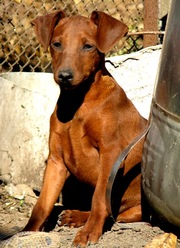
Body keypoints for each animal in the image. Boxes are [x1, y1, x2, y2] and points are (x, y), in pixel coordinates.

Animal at [23, 10, 148, 247]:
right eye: (56, 44)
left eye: (88, 46)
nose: (64, 76)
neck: (78, 104)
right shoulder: (56, 161)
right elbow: (42, 204)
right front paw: (27, 233)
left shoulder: (111, 154)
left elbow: (98, 198)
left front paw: (89, 232)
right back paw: (76, 216)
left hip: (134, 210)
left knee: (112, 212)